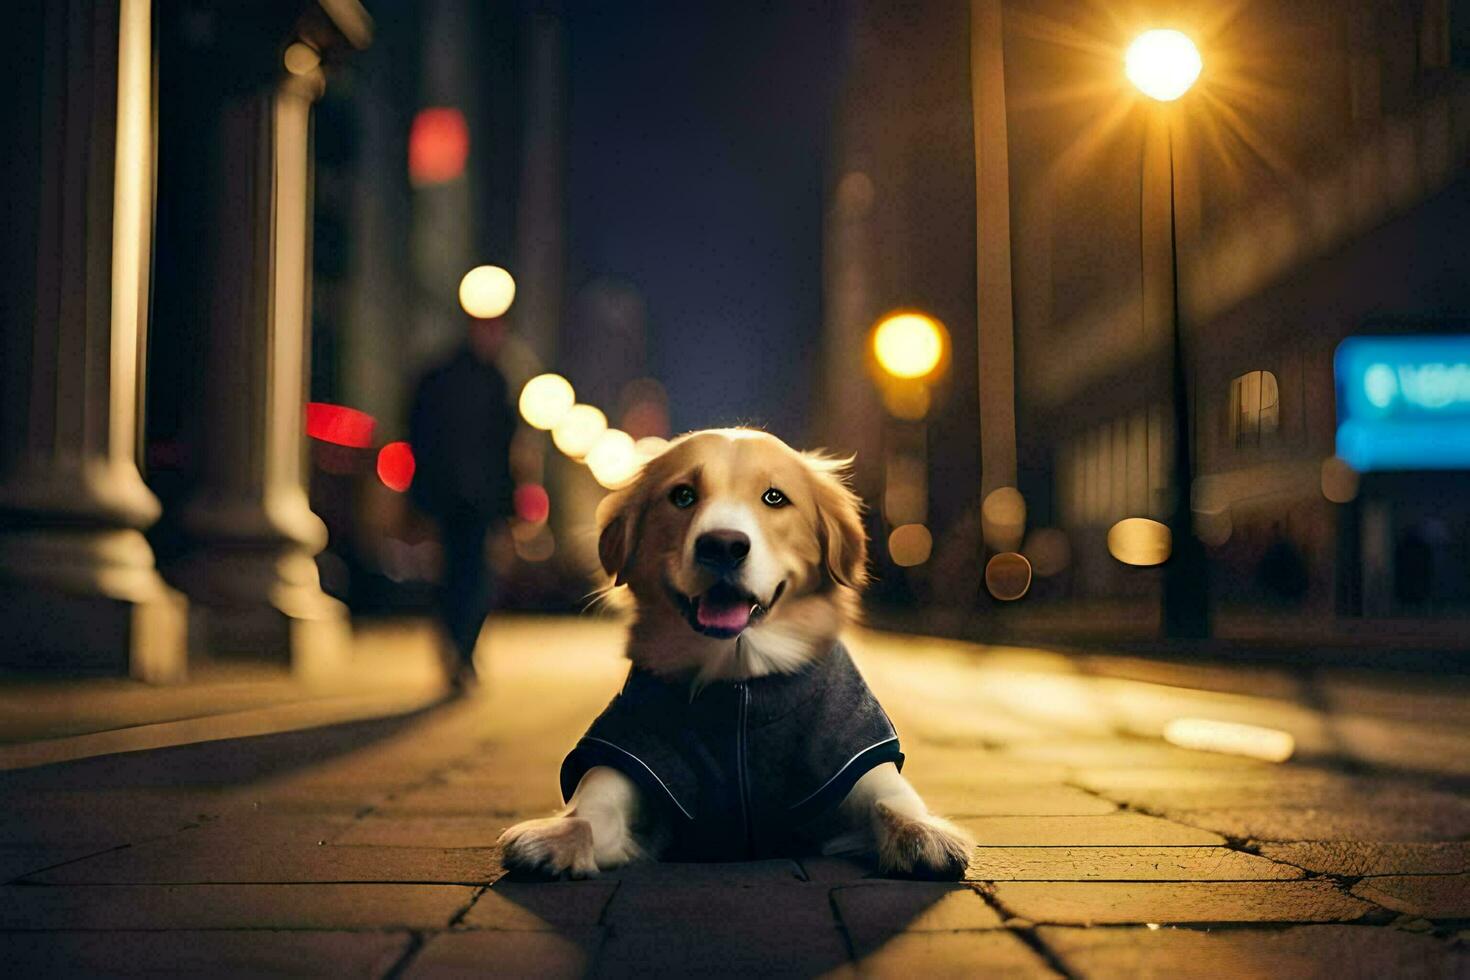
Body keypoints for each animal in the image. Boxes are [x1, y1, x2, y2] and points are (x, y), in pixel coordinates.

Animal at [499, 429, 970, 881]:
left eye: (774, 497)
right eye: (682, 495)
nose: (722, 545)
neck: (738, 678)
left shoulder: (850, 762)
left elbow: (893, 803)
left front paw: (925, 836)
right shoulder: (636, 759)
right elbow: (591, 811)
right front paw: (554, 840)